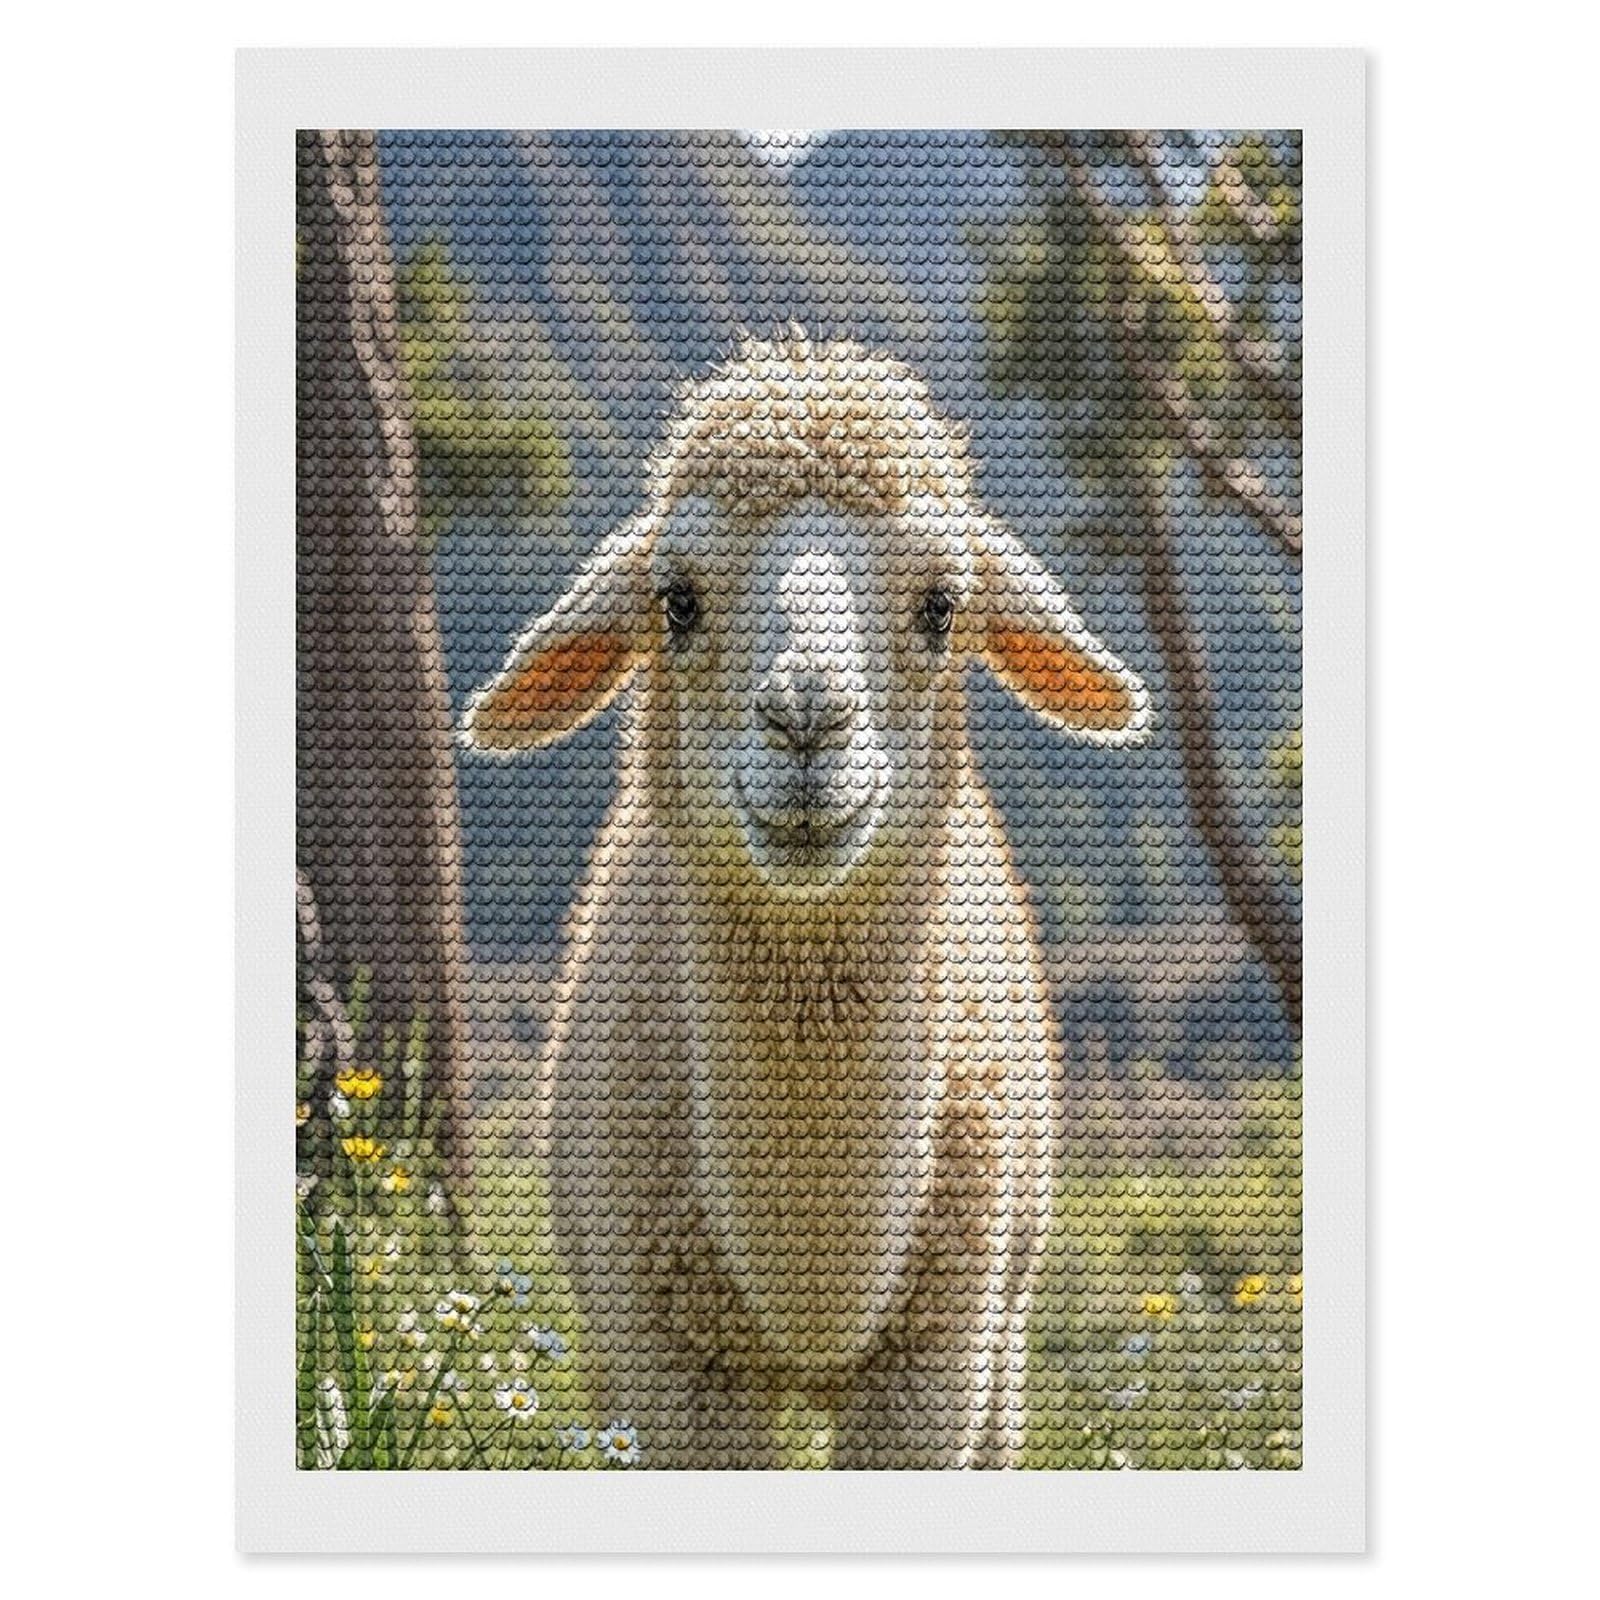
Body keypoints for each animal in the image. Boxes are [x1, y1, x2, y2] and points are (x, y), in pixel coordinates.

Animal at [463, 335, 1150, 1468]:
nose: (805, 723)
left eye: (941, 605)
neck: (811, 1282)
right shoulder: (673, 1364)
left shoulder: (935, 1356)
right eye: (677, 600)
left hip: (1004, 1333)